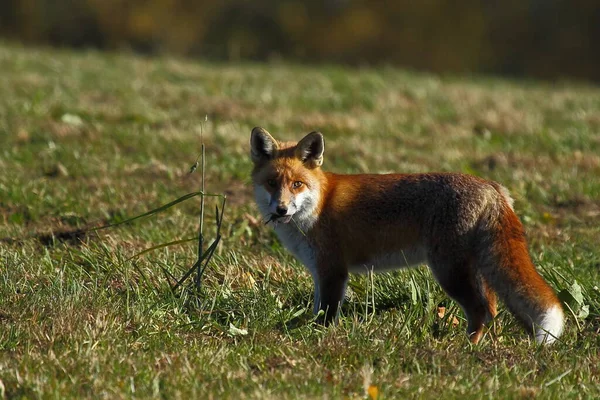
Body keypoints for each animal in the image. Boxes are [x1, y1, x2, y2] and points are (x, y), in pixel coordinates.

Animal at [251, 127, 564, 344]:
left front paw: (317, 339)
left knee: (480, 310)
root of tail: (491, 186)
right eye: (272, 183)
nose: (280, 209)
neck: (318, 205)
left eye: (297, 184)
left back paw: (466, 348)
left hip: (448, 270)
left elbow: (325, 315)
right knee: (493, 308)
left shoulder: (333, 271)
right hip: (474, 268)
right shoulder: (320, 271)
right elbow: (318, 308)